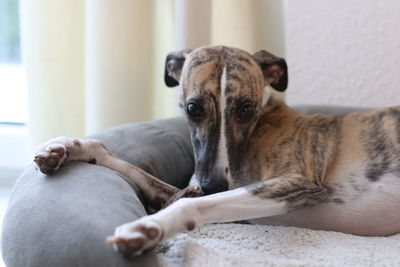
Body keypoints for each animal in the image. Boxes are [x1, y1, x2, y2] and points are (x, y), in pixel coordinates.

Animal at [33, 46, 400, 258]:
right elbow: (128, 166)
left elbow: (189, 205)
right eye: (193, 108)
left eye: (247, 109)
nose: (213, 184)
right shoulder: (194, 187)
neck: (262, 125)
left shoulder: (297, 182)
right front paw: (67, 147)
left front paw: (147, 228)